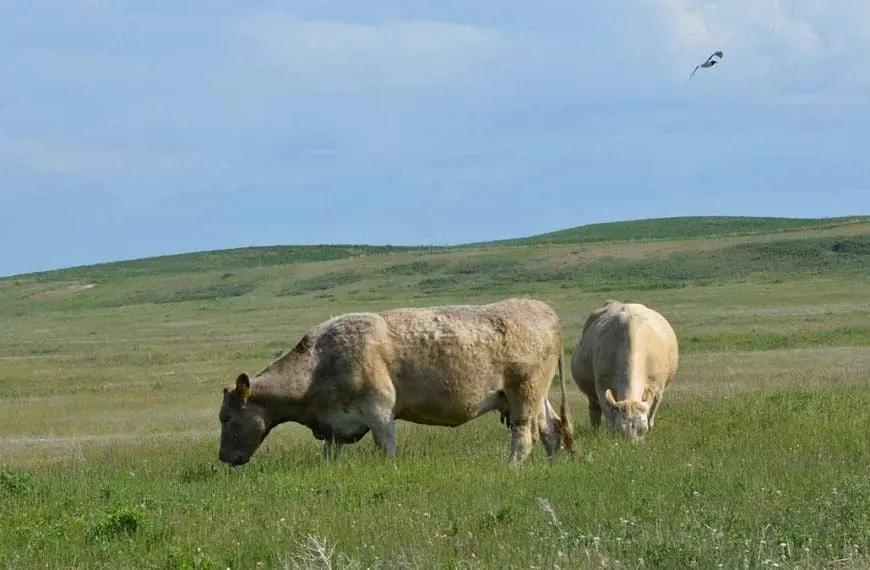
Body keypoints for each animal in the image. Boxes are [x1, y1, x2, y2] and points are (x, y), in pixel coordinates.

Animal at [218, 297, 575, 467]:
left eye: (229, 418)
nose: (223, 457)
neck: (318, 364)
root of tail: (542, 308)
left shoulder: (378, 409)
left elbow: (387, 447)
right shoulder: (334, 424)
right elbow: (330, 454)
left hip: (524, 394)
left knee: (524, 437)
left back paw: (510, 467)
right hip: (536, 396)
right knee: (550, 428)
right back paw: (552, 465)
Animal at [570, 300, 679, 442]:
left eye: (643, 429)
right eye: (620, 430)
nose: (631, 445)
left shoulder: (657, 388)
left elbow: (651, 414)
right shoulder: (601, 385)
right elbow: (607, 414)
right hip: (590, 393)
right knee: (594, 411)